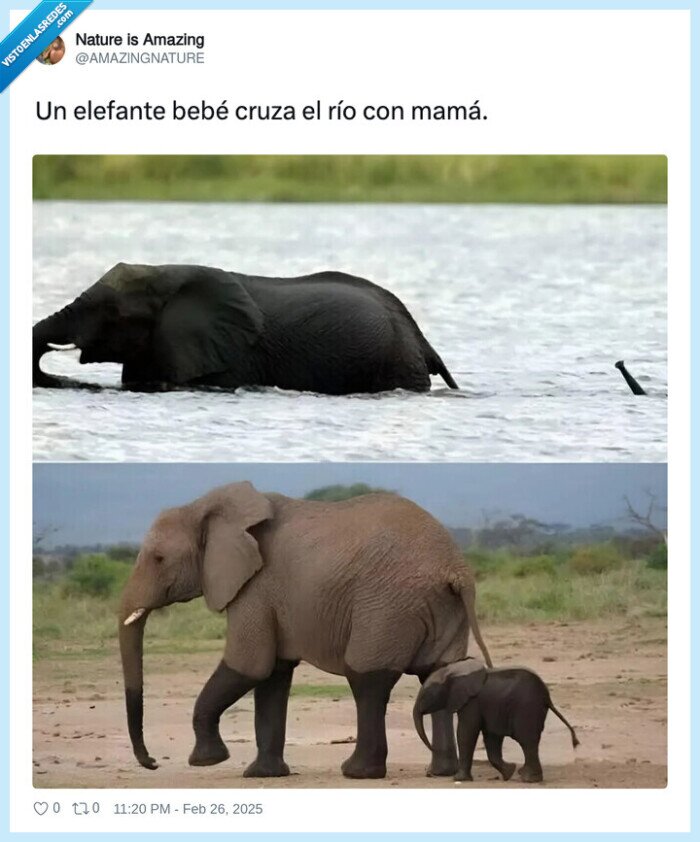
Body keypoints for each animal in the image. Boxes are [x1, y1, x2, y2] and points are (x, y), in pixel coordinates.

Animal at [119, 482, 492, 780]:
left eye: (158, 559)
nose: (152, 762)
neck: (205, 508)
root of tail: (455, 568)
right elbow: (273, 675)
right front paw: (262, 775)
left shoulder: (256, 588)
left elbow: (249, 665)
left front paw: (207, 761)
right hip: (438, 607)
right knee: (438, 673)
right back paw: (440, 772)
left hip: (387, 606)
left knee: (367, 678)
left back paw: (357, 772)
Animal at [413, 659, 579, 783]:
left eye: (427, 694)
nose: (429, 773)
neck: (454, 670)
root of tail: (547, 696)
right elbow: (491, 737)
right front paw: (508, 772)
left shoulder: (472, 702)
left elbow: (466, 732)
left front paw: (458, 779)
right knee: (529, 742)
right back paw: (524, 776)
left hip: (527, 708)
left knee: (527, 741)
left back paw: (528, 779)